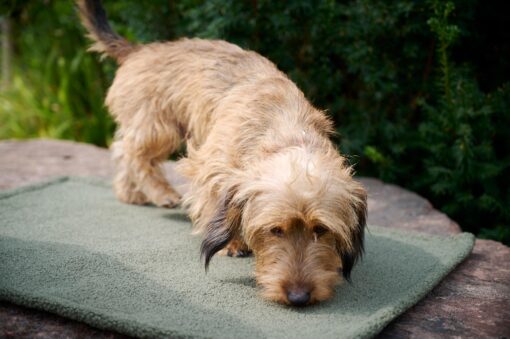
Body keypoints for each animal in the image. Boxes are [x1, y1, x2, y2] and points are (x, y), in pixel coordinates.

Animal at [76, 0, 366, 306]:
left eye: (321, 230)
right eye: (275, 230)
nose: (298, 297)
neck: (287, 130)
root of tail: (141, 50)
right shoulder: (212, 167)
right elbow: (217, 203)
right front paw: (233, 241)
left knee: (123, 151)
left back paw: (129, 194)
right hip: (159, 126)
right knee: (131, 153)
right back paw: (161, 193)